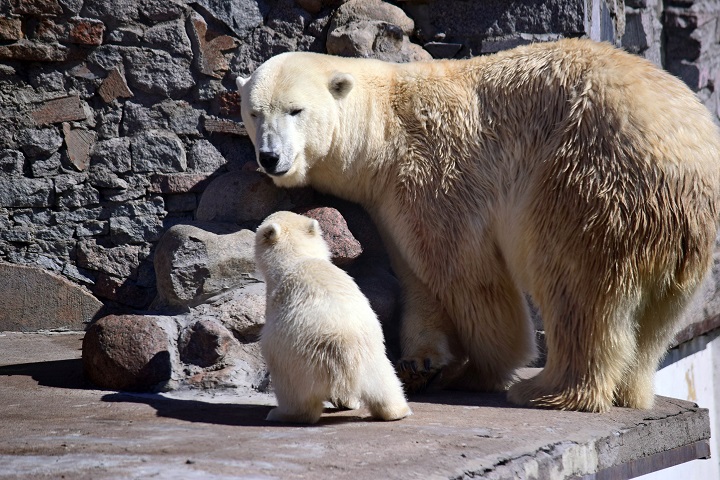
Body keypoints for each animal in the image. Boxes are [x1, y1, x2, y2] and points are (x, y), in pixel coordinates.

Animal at [239, 38, 720, 412]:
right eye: (254, 113)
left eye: (296, 110)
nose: (270, 157)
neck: (384, 126)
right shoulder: (391, 203)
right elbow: (418, 280)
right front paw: (421, 362)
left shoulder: (434, 175)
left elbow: (468, 277)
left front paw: (474, 371)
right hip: (684, 237)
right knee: (659, 316)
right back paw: (631, 390)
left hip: (589, 182)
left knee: (573, 282)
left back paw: (548, 390)